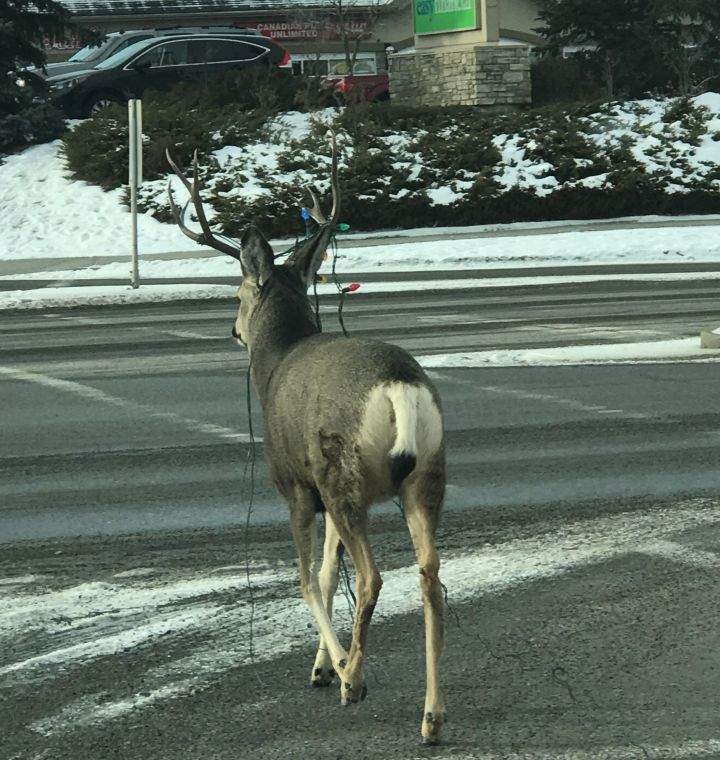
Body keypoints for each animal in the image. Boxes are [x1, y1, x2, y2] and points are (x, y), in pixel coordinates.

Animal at [166, 134, 447, 745]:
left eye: (239, 293)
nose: (233, 330)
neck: (274, 365)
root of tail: (399, 384)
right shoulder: (319, 489)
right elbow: (324, 570)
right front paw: (319, 665)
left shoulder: (296, 486)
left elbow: (306, 580)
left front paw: (337, 667)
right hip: (425, 473)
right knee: (430, 578)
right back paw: (432, 716)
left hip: (343, 472)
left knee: (371, 577)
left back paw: (356, 680)